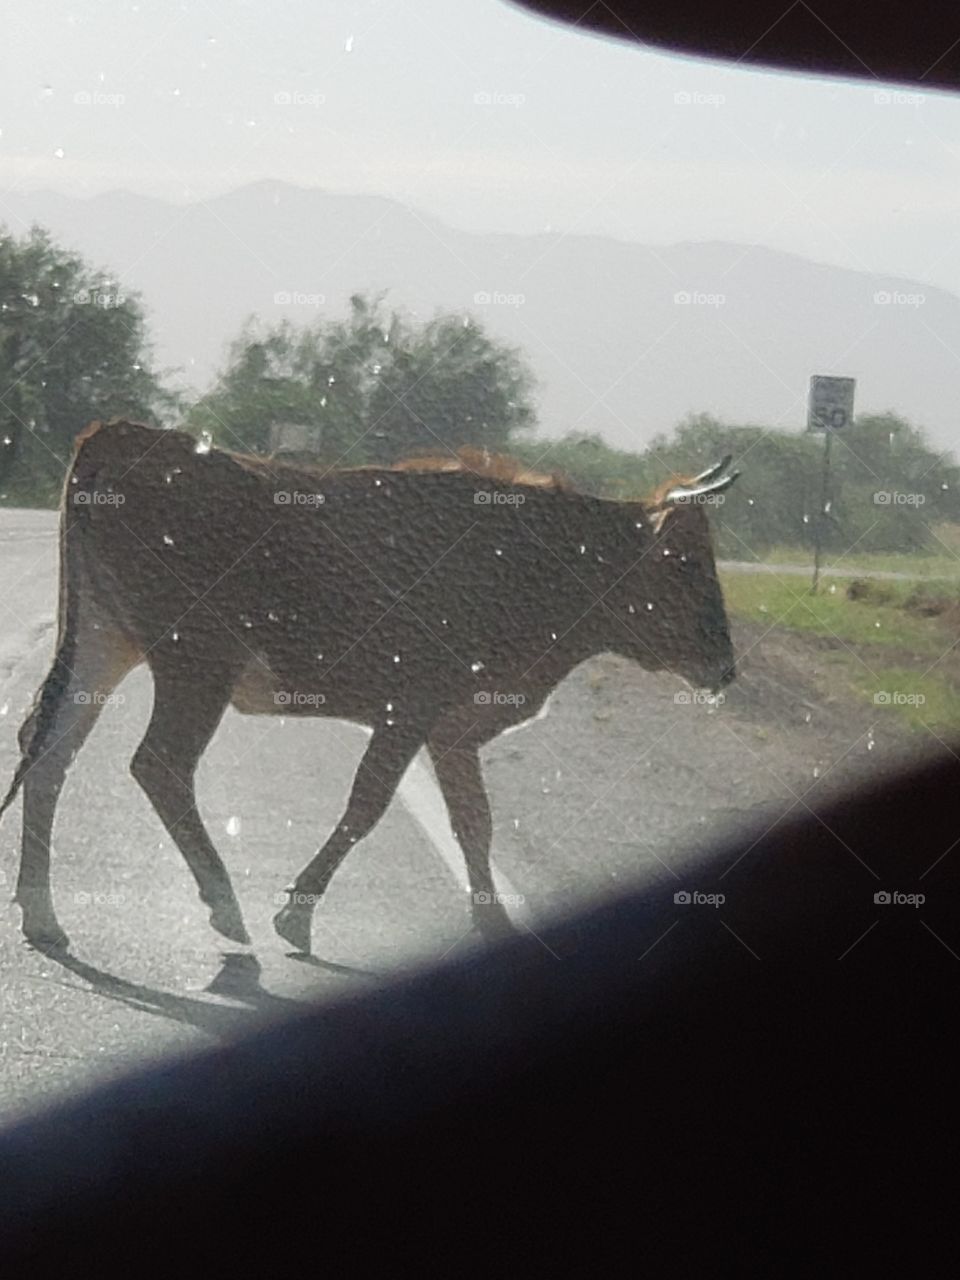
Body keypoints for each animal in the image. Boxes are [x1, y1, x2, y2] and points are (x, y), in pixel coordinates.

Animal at [0, 424, 742, 957]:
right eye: (684, 561)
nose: (727, 667)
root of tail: (117, 434)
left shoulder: (452, 729)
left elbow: (476, 824)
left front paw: (495, 924)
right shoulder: (409, 710)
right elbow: (367, 806)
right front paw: (295, 914)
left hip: (106, 643)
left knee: (50, 748)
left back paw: (43, 913)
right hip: (195, 664)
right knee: (158, 763)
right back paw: (225, 905)